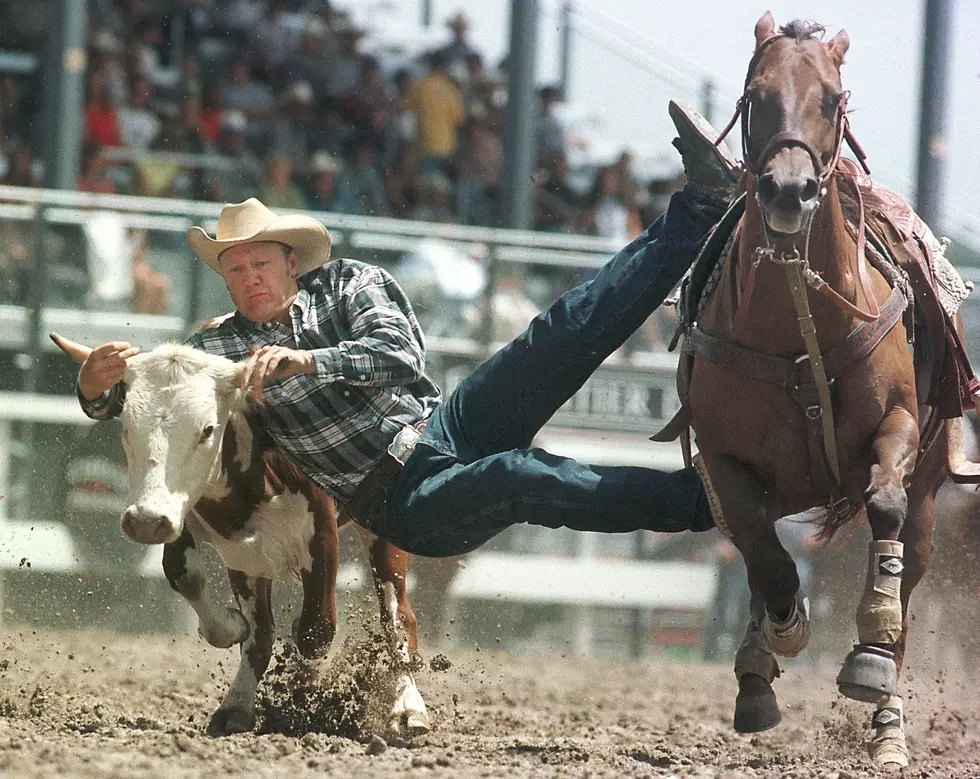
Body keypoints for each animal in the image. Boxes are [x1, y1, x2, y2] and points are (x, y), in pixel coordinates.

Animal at [680, 10, 972, 768]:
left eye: (833, 100)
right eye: (755, 97)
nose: (788, 190)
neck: (796, 322)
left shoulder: (897, 429)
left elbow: (883, 505)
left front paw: (867, 654)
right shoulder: (725, 462)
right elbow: (765, 557)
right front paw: (775, 640)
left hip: (931, 500)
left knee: (908, 578)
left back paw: (888, 721)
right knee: (761, 556)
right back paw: (758, 666)